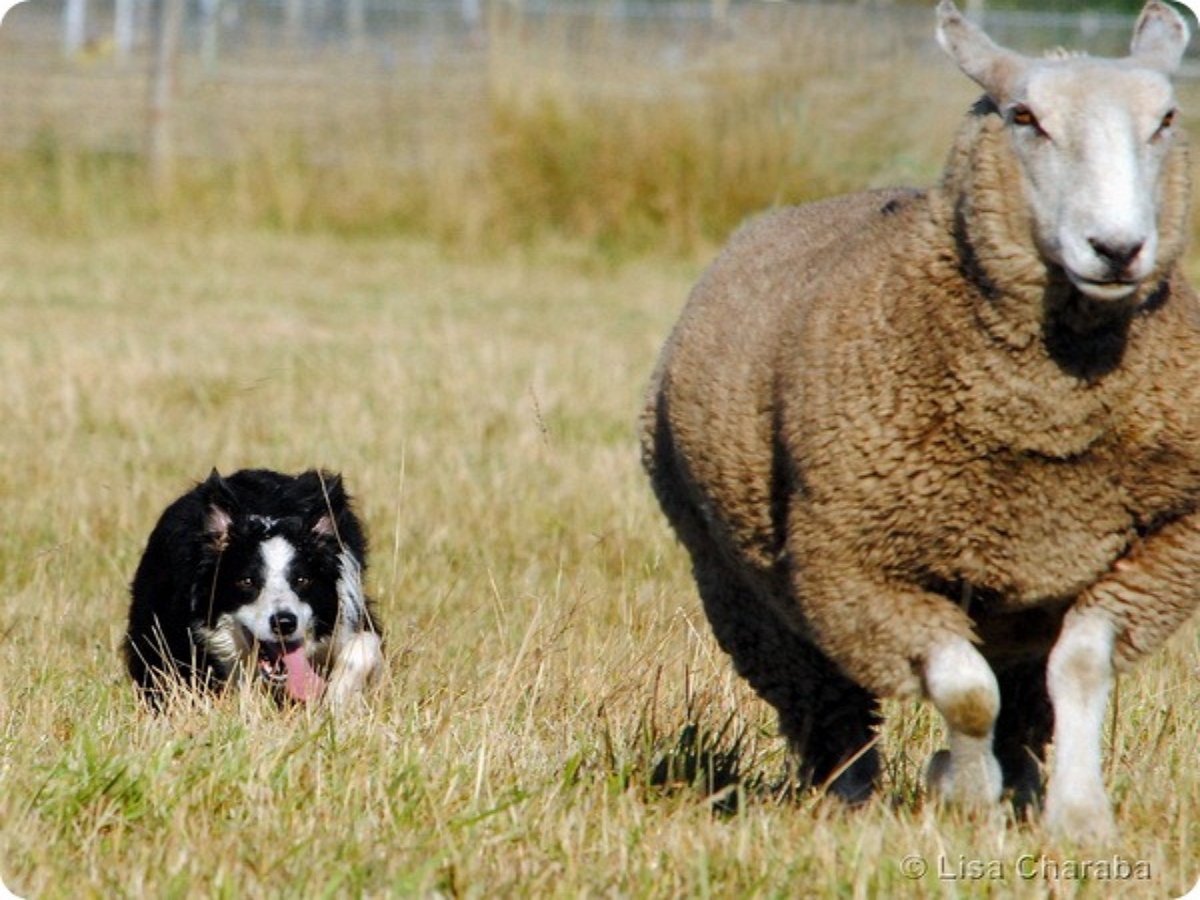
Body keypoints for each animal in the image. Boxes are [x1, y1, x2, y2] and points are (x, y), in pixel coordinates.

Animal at [643, 0, 1200, 844]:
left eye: (1165, 120)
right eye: (1024, 117)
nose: (1116, 249)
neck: (1049, 412)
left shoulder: (1165, 546)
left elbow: (1080, 670)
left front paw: (1078, 817)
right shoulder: (859, 565)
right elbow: (965, 693)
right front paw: (963, 794)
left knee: (1024, 703)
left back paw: (1022, 783)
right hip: (749, 594)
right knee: (833, 709)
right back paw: (848, 795)